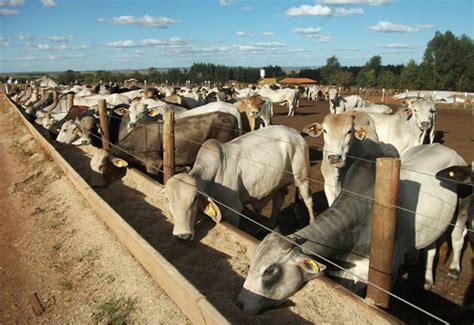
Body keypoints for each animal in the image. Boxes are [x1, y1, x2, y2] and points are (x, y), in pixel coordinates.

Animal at [165, 125, 316, 239]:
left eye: (195, 198)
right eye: (167, 199)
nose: (182, 236)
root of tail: (294, 132)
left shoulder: (234, 209)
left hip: (302, 179)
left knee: (308, 201)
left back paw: (312, 223)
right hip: (277, 183)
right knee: (278, 201)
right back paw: (268, 227)